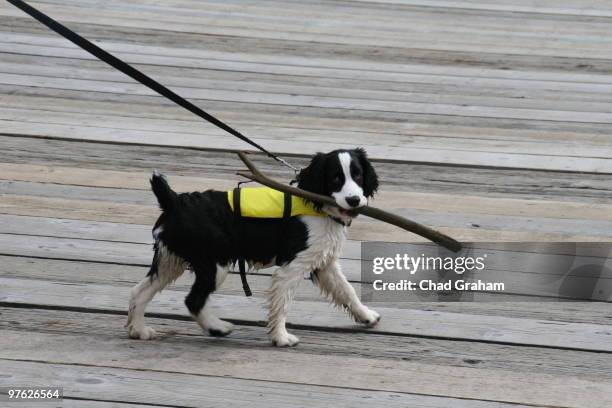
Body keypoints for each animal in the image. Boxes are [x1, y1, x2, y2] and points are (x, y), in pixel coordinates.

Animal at [126, 148, 380, 346]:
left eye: (358, 175)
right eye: (335, 178)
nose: (354, 200)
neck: (316, 204)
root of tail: (175, 201)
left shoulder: (323, 261)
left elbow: (347, 290)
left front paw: (366, 316)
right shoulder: (293, 265)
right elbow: (282, 303)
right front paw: (281, 338)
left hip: (171, 259)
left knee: (140, 291)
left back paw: (139, 330)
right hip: (214, 263)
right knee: (193, 300)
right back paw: (217, 328)